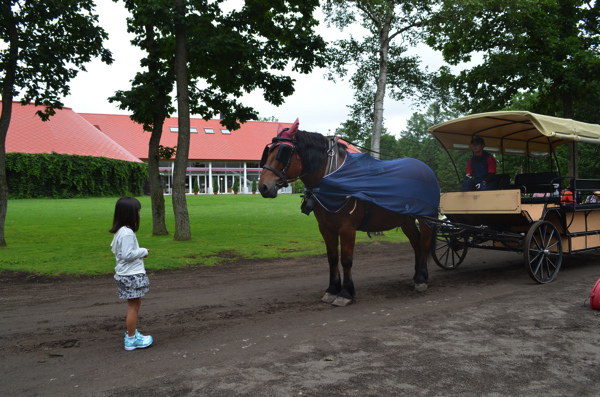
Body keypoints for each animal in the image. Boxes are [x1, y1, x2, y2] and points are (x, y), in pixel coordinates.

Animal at [258, 119, 440, 304]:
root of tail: (427, 170)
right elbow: (332, 258)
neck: (333, 176)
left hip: (426, 218)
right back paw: (417, 276)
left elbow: (346, 259)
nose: (263, 187)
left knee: (424, 245)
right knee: (416, 244)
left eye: (283, 152)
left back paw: (421, 279)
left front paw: (345, 292)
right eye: (268, 151)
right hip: (407, 220)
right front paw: (332, 289)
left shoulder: (347, 228)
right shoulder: (326, 228)